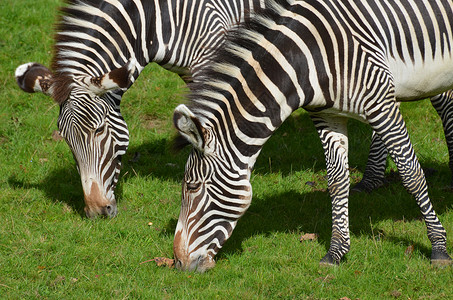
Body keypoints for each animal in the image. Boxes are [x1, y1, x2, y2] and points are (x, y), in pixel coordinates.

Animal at [172, 0, 452, 272]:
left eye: (192, 186)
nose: (178, 263)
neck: (305, 62)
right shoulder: (327, 115)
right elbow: (337, 181)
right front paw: (336, 251)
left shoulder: (381, 105)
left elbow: (411, 173)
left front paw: (438, 247)